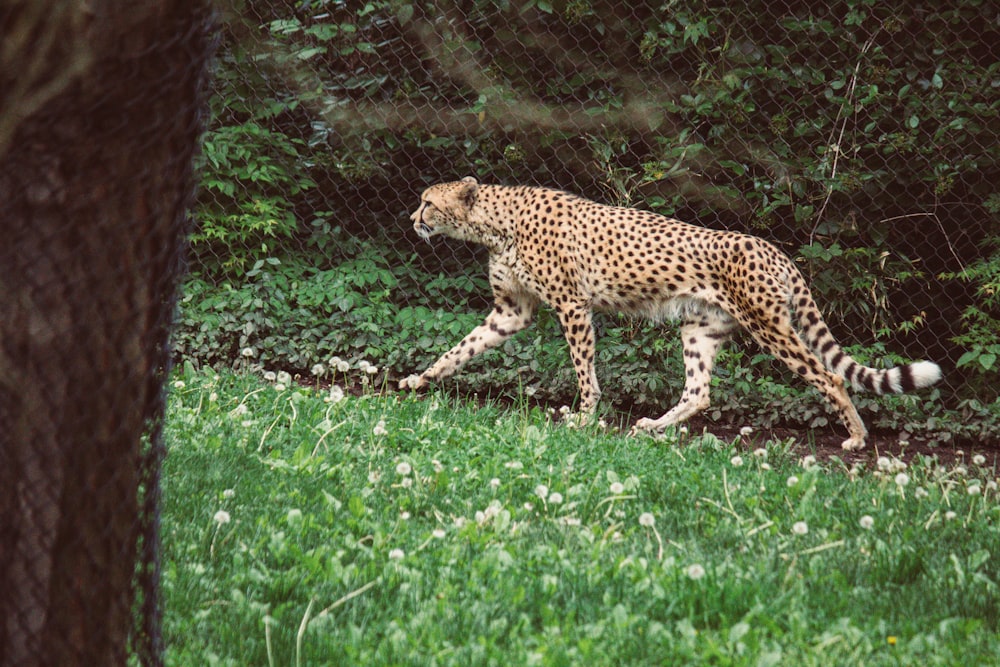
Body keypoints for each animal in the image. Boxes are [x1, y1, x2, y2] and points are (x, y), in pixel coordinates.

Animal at [402, 177, 940, 452]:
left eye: (427, 202)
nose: (412, 220)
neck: (494, 222)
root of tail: (772, 248)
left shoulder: (573, 305)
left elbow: (584, 369)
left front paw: (584, 417)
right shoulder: (511, 312)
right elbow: (461, 349)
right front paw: (418, 379)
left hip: (770, 327)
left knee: (829, 377)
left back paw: (856, 438)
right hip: (700, 328)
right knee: (699, 392)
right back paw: (653, 427)